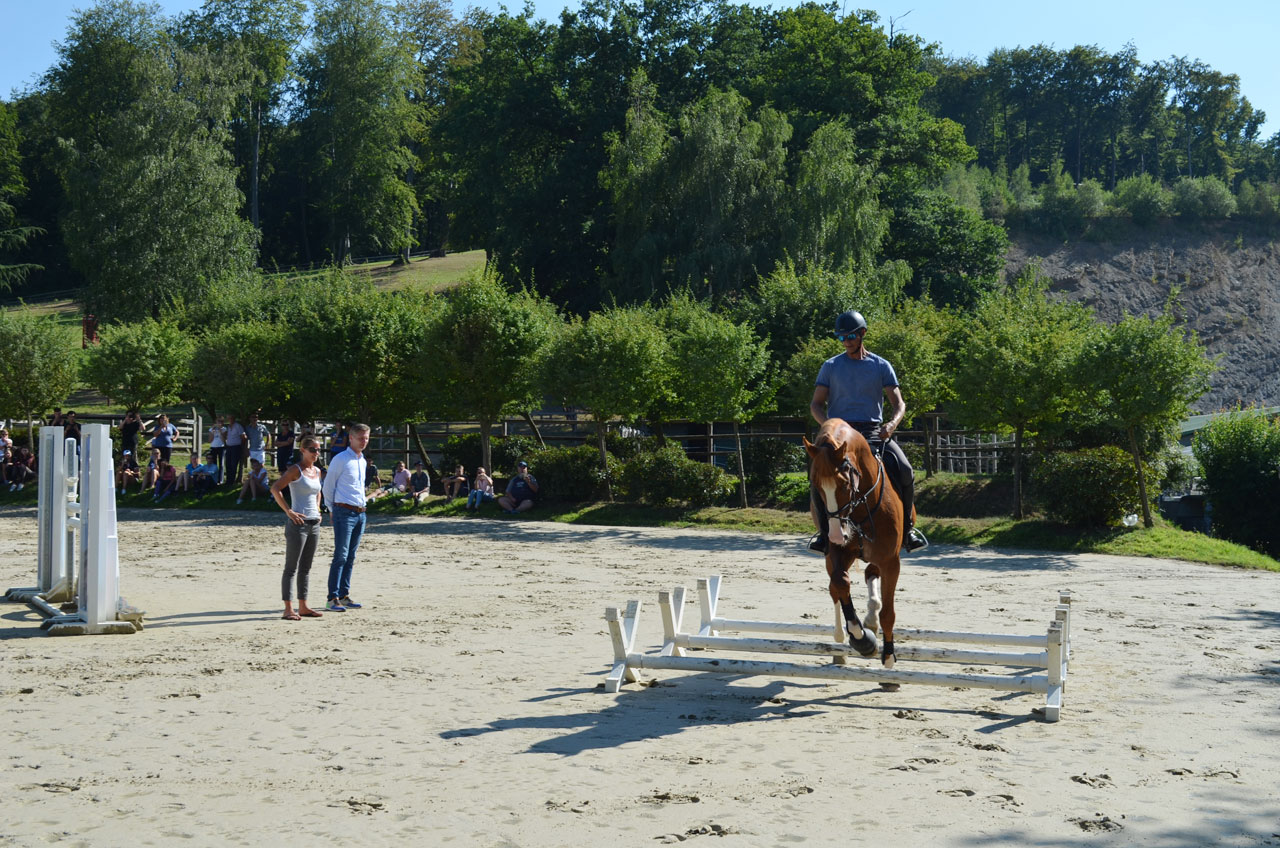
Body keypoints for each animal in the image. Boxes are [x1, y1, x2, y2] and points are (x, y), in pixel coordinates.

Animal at [804, 417, 910, 675]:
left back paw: (871, 620)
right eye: (816, 486)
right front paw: (861, 638)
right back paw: (840, 640)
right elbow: (841, 584)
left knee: (871, 574)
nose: (836, 534)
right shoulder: (837, 553)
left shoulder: (890, 561)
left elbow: (888, 612)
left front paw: (888, 655)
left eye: (844, 485)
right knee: (835, 588)